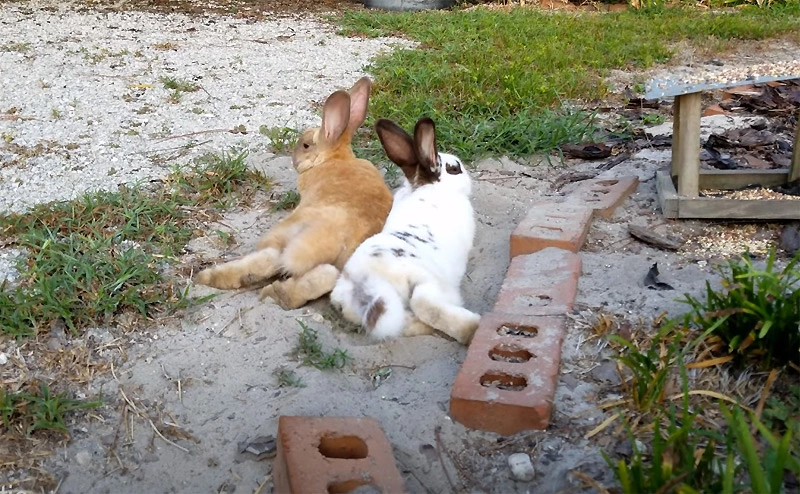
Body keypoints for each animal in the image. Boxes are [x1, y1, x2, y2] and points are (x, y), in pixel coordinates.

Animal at [194, 76, 394, 308]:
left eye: (306, 145)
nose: (294, 159)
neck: (333, 159)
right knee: (324, 275)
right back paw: (274, 294)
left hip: (289, 231)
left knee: (270, 259)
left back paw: (209, 277)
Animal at [328, 116, 478, 344]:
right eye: (454, 168)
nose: (468, 177)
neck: (430, 187)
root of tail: (367, 281)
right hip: (429, 281)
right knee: (424, 303)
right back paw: (471, 327)